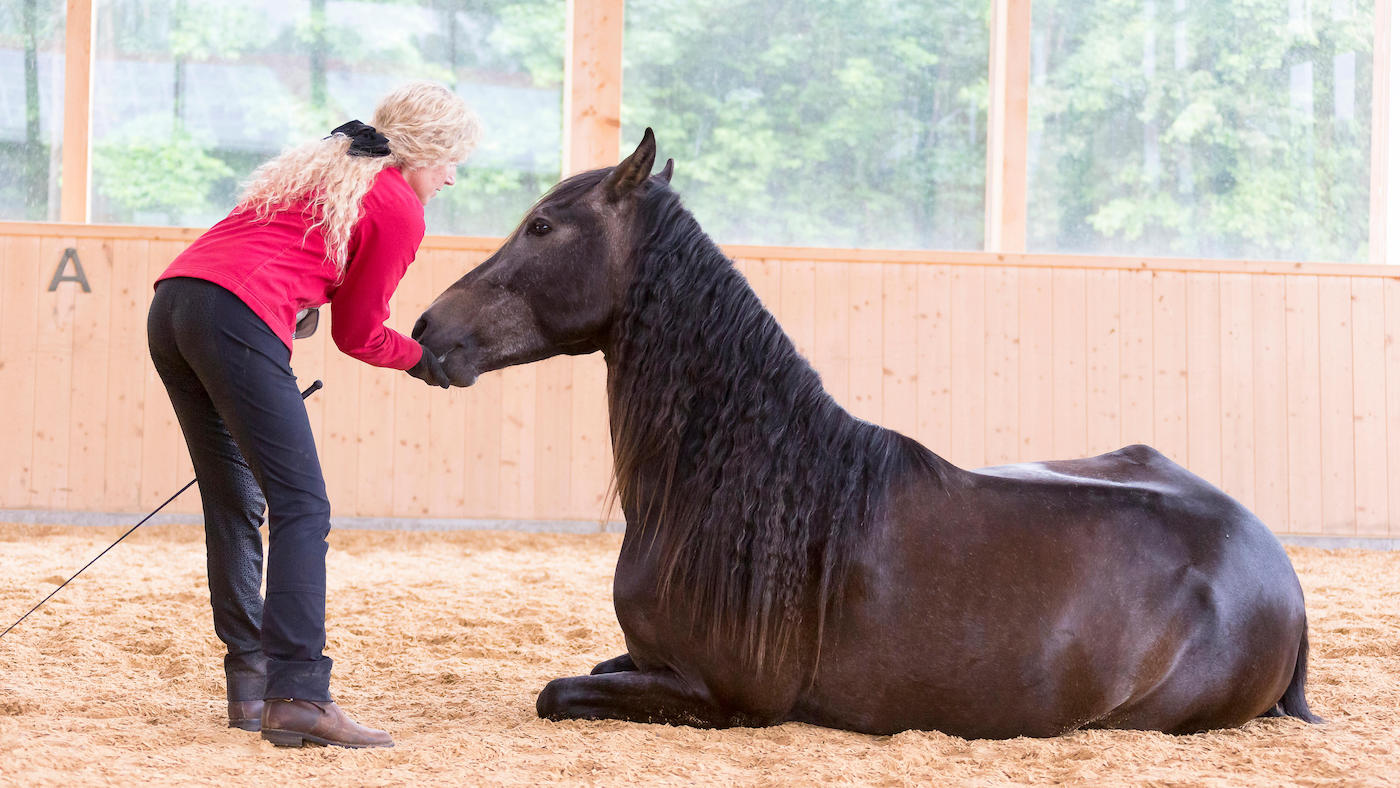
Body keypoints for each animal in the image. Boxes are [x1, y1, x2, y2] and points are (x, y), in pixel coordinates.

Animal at [411, 129, 1321, 738]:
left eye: (542, 227)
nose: (426, 329)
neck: (738, 497)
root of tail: (1277, 570)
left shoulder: (722, 696)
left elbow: (555, 693)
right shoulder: (646, 661)